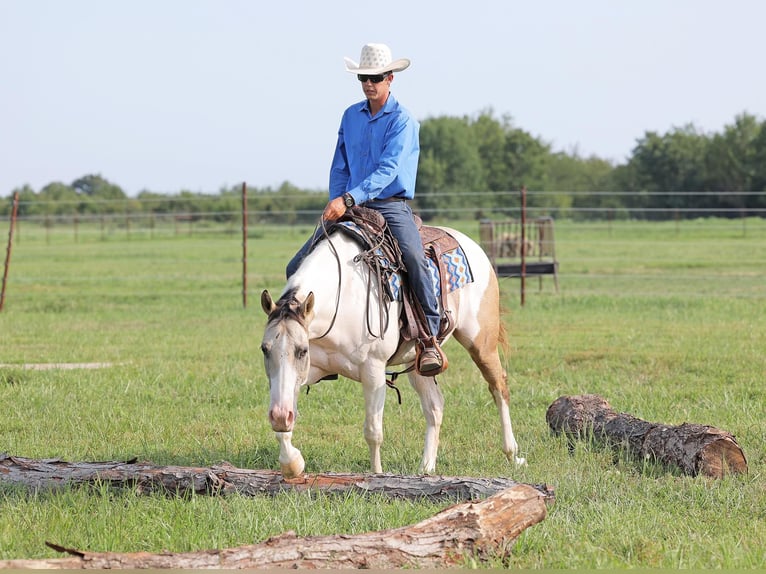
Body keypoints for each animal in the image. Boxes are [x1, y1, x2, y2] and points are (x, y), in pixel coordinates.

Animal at [260, 218, 524, 480]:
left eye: (301, 350)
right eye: (264, 349)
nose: (279, 415)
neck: (341, 298)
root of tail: (474, 247)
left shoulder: (373, 370)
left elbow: (373, 431)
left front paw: (377, 476)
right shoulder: (308, 371)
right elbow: (284, 422)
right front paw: (293, 463)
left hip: (481, 343)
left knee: (499, 387)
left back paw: (512, 454)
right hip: (420, 363)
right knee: (435, 406)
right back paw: (426, 467)